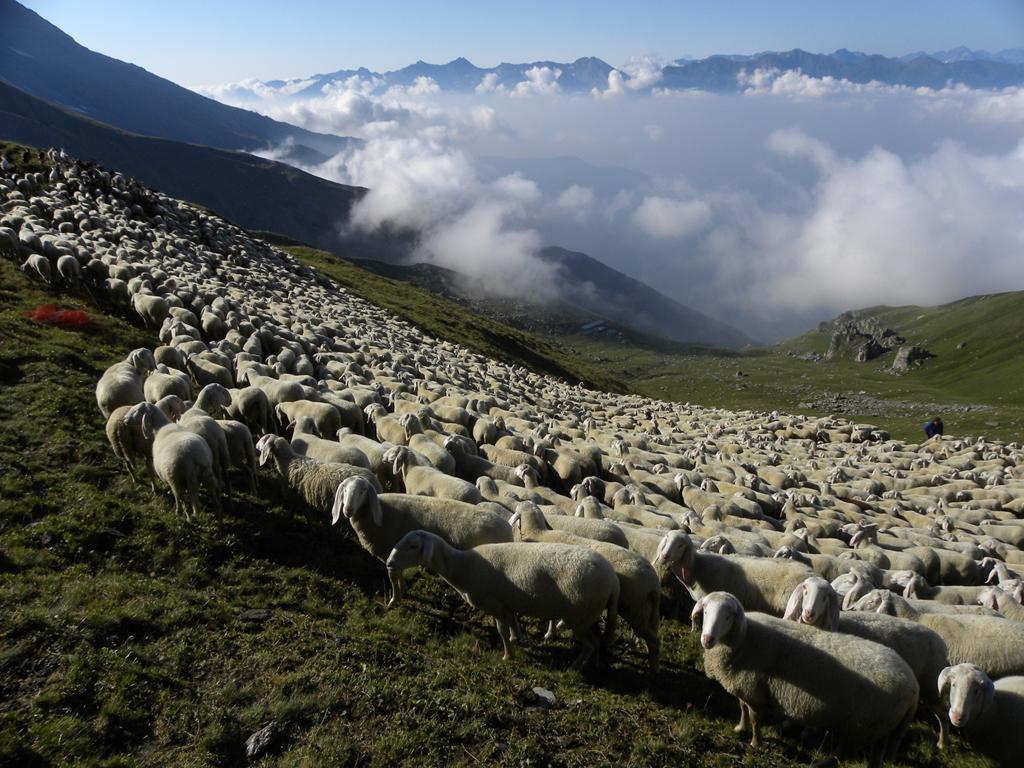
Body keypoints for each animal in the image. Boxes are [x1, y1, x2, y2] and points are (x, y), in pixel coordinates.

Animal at [331, 475, 512, 606]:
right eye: (344, 489)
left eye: (362, 491)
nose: (347, 510)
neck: (380, 512)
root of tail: (508, 529)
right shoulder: (395, 557)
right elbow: (398, 574)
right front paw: (402, 590)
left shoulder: (390, 553)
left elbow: (392, 577)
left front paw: (394, 600)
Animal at [509, 501, 659, 671]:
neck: (537, 533)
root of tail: (654, 582)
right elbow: (553, 616)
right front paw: (551, 633)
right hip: (644, 609)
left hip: (633, 608)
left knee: (653, 640)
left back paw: (653, 669)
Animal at [696, 589, 921, 765]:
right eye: (706, 611)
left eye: (728, 617)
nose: (707, 639)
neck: (744, 639)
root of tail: (913, 686)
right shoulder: (745, 687)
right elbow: (742, 708)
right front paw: (739, 728)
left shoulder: (754, 690)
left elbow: (755, 719)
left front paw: (755, 742)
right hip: (881, 729)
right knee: (875, 756)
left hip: (862, 725)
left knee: (845, 756)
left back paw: (821, 763)